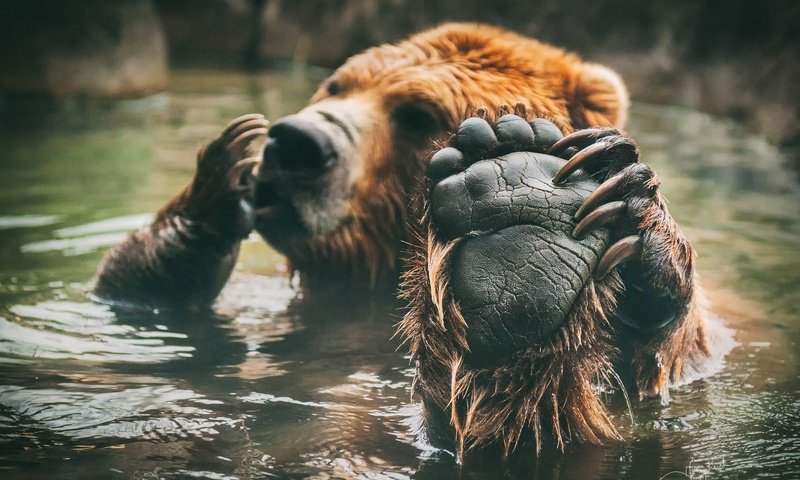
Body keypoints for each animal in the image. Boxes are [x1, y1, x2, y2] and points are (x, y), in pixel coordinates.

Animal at [95, 24, 712, 460]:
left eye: (416, 113)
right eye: (337, 84)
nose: (296, 141)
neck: (371, 276)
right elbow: (127, 299)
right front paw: (224, 172)